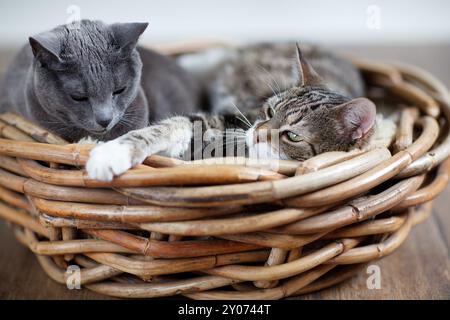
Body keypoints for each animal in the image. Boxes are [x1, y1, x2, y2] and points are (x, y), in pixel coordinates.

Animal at [85, 42, 376, 181]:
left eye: (293, 136)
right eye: (269, 111)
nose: (256, 133)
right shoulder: (227, 117)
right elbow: (170, 126)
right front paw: (112, 152)